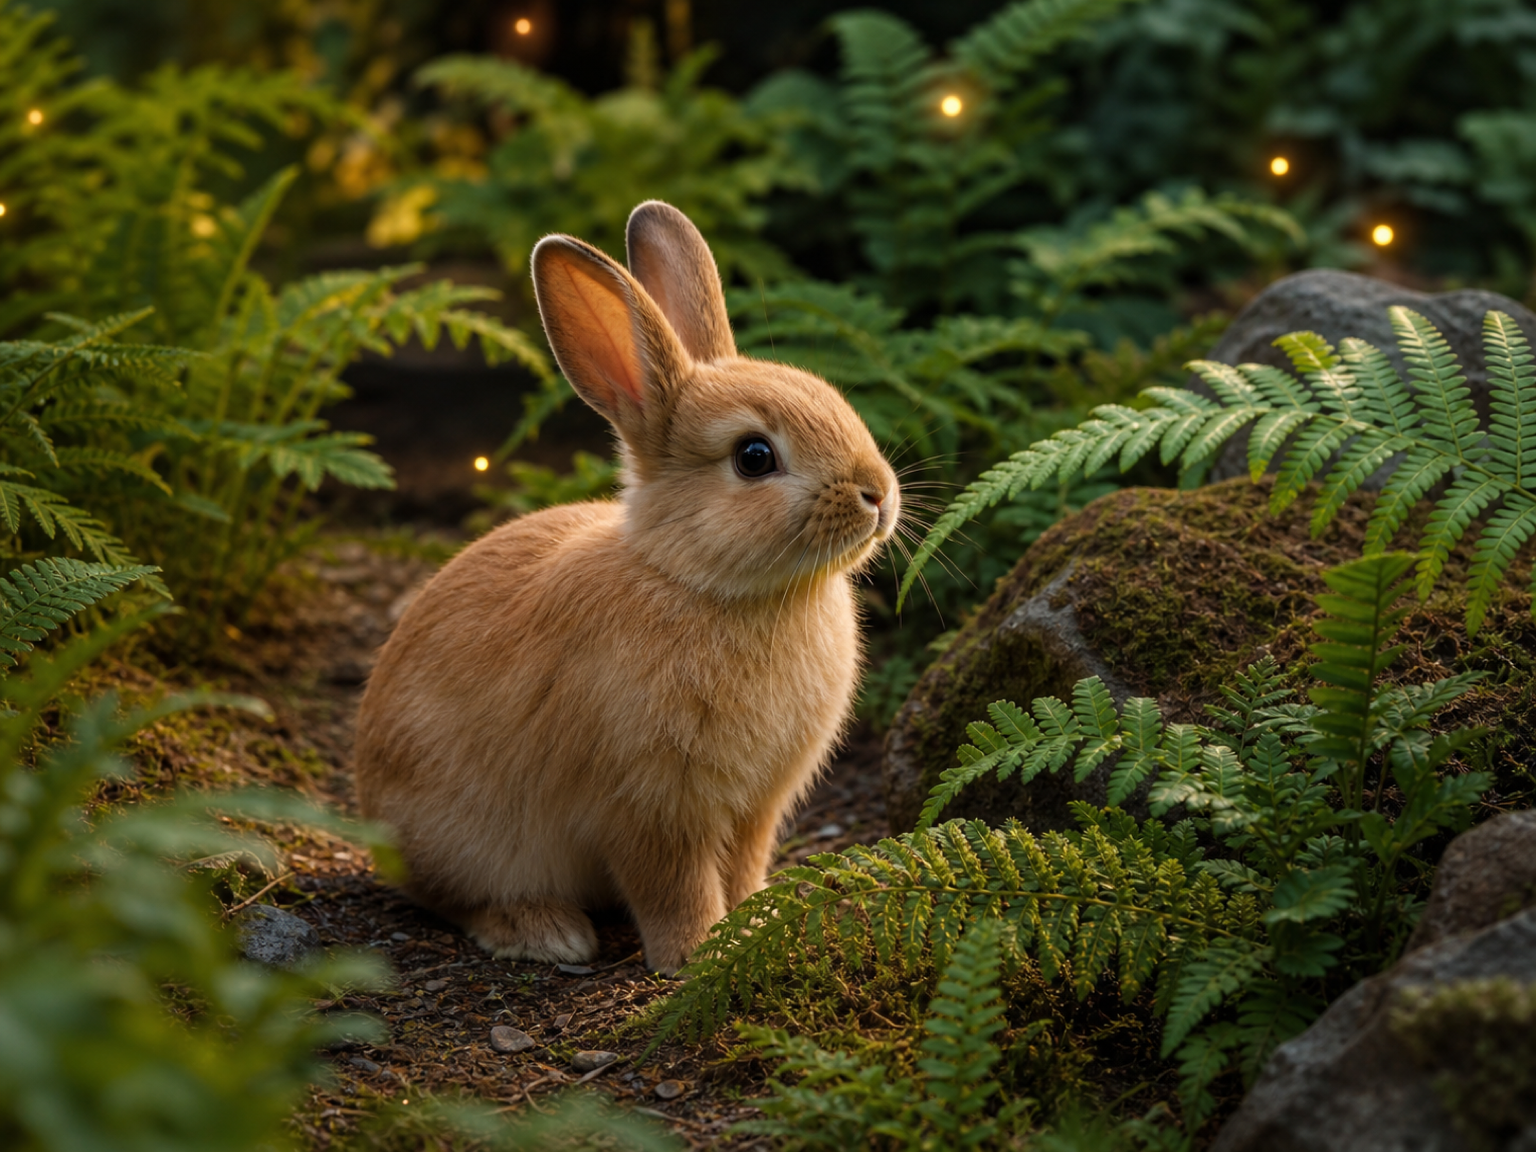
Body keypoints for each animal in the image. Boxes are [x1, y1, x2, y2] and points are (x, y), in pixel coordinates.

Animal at [353, 200, 899, 975]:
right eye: (754, 457)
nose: (877, 493)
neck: (700, 581)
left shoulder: (755, 807)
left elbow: (743, 867)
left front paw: (754, 924)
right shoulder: (648, 804)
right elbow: (673, 886)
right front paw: (695, 954)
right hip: (461, 837)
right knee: (453, 898)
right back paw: (546, 932)